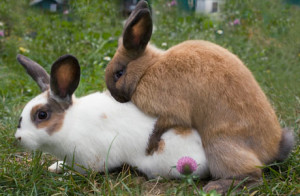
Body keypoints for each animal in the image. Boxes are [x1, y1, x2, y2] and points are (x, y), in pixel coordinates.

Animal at [12, 54, 207, 179]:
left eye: (42, 115)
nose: (19, 138)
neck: (71, 124)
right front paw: (56, 167)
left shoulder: (92, 158)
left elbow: (85, 172)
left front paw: (66, 174)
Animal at [103, 0, 296, 193]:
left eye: (119, 73)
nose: (114, 96)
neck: (146, 70)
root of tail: (273, 149)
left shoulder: (171, 110)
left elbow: (161, 125)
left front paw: (151, 144)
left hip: (218, 145)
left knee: (253, 176)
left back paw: (216, 187)